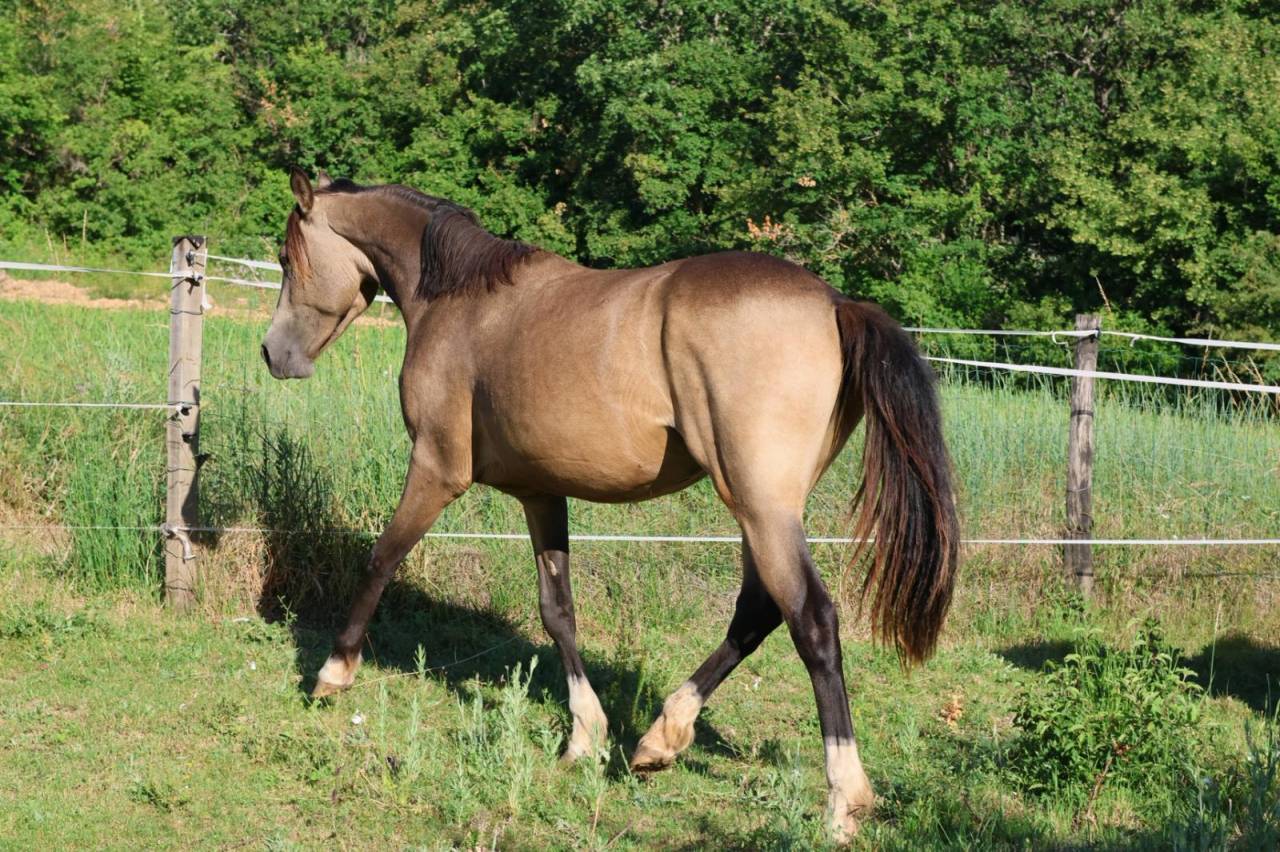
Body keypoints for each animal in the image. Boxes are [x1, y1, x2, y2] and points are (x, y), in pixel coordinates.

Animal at [261, 168, 959, 840]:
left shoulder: (436, 469)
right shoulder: (541, 492)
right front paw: (584, 735)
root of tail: (836, 303)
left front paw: (333, 672)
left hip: (761, 508)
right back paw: (660, 738)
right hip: (762, 511)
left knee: (811, 621)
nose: (272, 353)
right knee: (756, 612)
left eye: (287, 255)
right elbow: (558, 611)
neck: (459, 302)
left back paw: (842, 801)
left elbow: (382, 557)